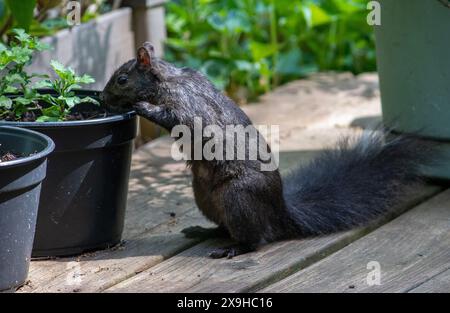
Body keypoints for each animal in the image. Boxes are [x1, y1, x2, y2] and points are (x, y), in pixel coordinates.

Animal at [103, 43, 436, 258]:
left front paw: (142, 107)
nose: (104, 98)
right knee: (227, 226)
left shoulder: (188, 106)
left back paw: (233, 249)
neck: (168, 79)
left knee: (255, 239)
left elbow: (174, 119)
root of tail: (279, 212)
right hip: (205, 196)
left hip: (237, 196)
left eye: (122, 79)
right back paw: (207, 232)